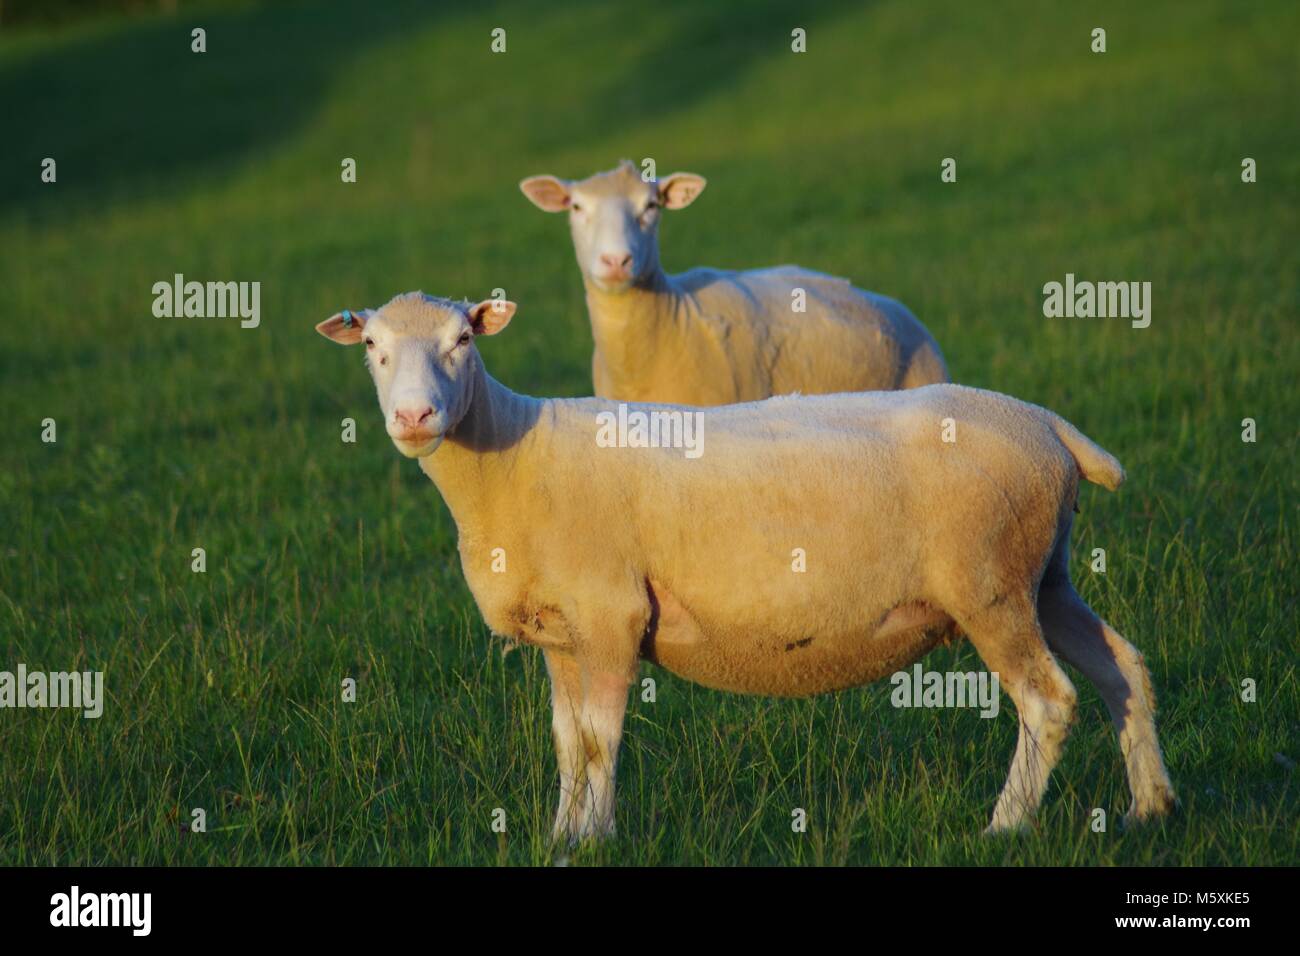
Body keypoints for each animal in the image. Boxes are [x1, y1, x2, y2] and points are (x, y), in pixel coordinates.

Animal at [317, 287, 1180, 842]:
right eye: (373, 349)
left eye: (464, 341)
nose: (415, 416)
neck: (512, 458)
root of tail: (1048, 425)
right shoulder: (563, 635)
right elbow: (567, 745)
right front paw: (562, 836)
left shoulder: (611, 614)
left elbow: (599, 742)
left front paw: (595, 839)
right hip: (1044, 575)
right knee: (1123, 668)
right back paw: (1151, 807)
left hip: (990, 585)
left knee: (1048, 701)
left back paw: (1004, 826)